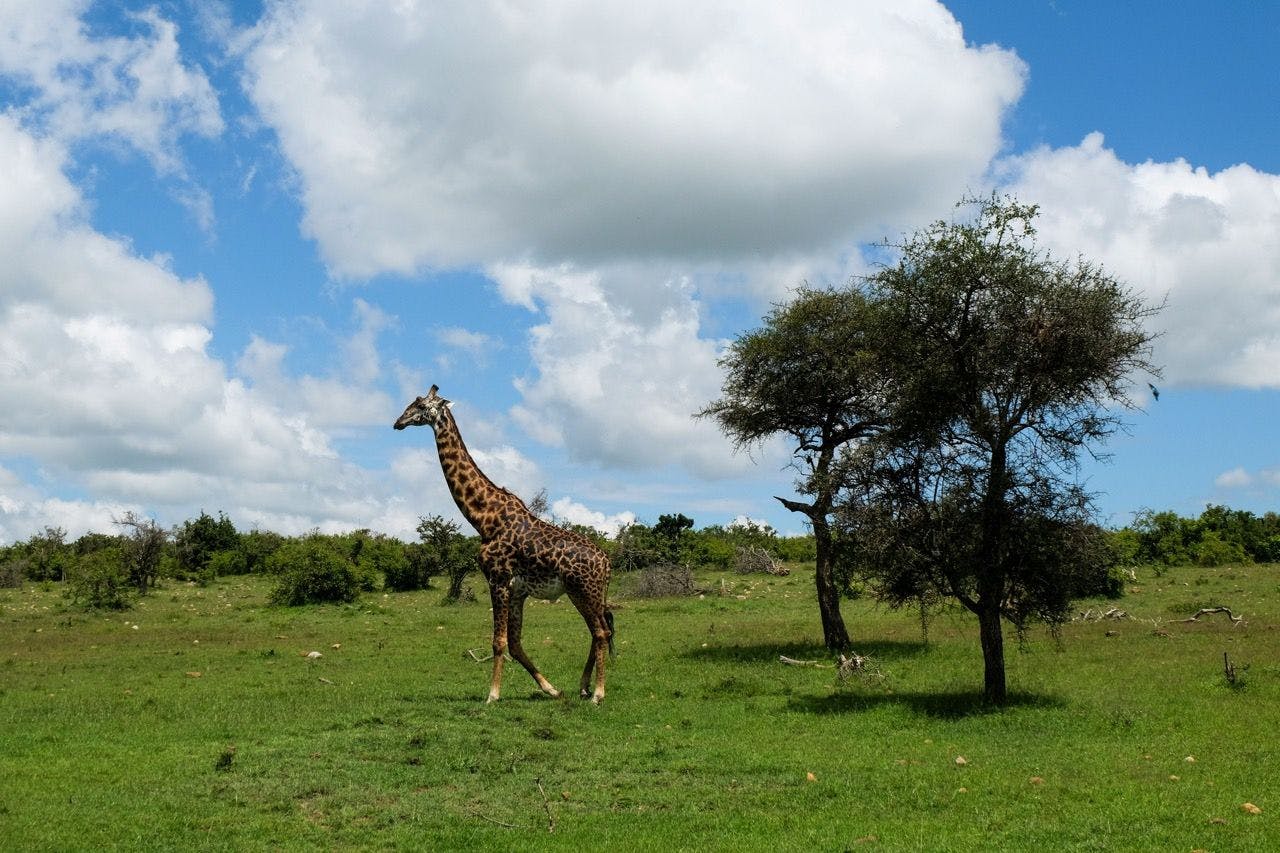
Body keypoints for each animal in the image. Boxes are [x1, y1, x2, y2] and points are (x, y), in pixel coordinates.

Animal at [394, 389, 614, 701]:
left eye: (420, 405)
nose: (398, 422)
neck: (484, 517)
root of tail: (606, 563)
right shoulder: (517, 589)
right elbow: (514, 642)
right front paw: (551, 689)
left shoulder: (497, 578)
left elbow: (498, 641)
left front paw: (493, 695)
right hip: (581, 593)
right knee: (600, 631)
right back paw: (583, 687)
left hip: (585, 589)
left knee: (601, 632)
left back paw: (597, 693)